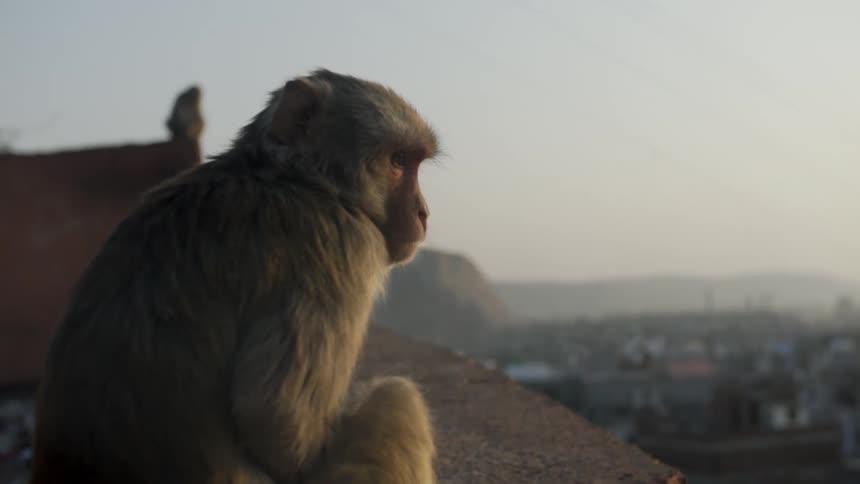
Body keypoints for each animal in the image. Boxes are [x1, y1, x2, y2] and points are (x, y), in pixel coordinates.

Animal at [30, 69, 439, 484]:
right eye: (398, 160)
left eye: (414, 161)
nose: (423, 212)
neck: (292, 177)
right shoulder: (341, 243)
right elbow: (274, 419)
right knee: (398, 398)